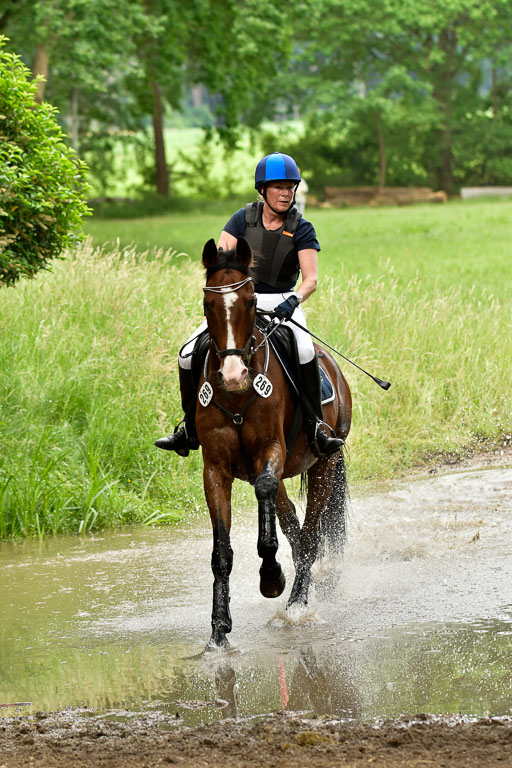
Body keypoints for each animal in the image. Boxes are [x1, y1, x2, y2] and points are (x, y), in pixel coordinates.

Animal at [196, 237, 352, 644]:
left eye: (251, 302)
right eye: (207, 304)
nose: (234, 375)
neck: (237, 399)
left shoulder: (271, 452)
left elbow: (268, 510)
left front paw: (270, 578)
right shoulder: (215, 469)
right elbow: (221, 552)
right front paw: (218, 631)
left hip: (324, 464)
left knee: (310, 535)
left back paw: (296, 603)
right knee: (295, 529)